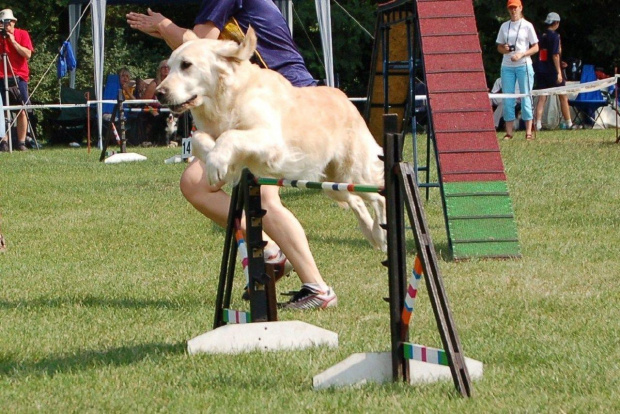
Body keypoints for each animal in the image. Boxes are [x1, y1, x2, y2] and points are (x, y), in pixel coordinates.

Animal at [155, 29, 386, 252]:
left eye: (186, 65)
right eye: (169, 66)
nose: (159, 93)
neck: (229, 98)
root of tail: (348, 101)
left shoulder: (272, 141)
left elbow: (231, 135)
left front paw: (216, 162)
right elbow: (198, 139)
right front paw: (216, 158)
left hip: (354, 172)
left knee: (379, 197)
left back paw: (381, 235)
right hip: (333, 182)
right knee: (357, 200)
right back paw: (371, 234)